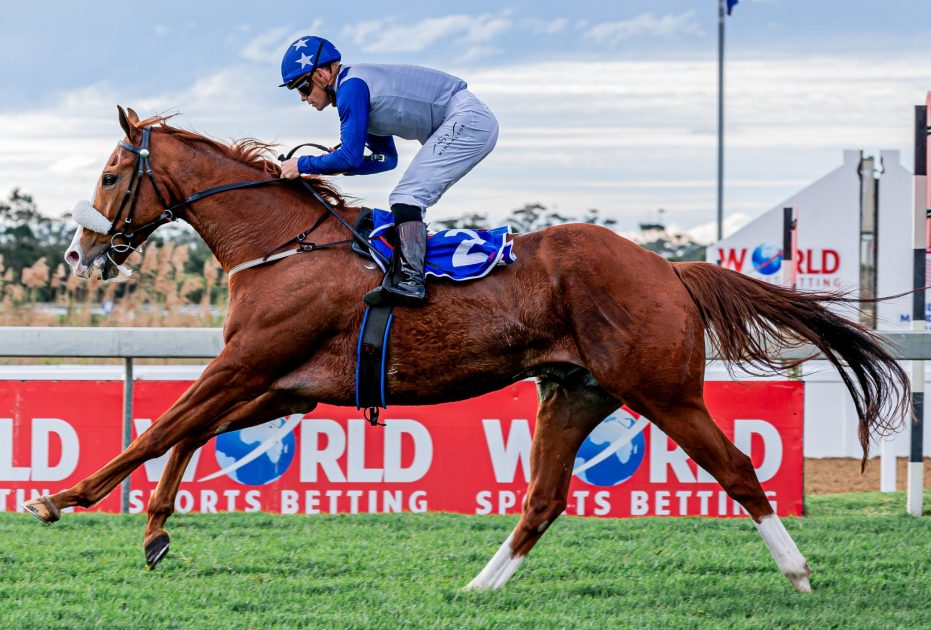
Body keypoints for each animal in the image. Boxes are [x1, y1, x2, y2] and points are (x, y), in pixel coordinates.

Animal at [23, 106, 912, 596]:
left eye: (111, 175)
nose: (77, 254)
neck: (284, 245)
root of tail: (668, 267)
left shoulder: (245, 366)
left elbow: (154, 431)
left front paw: (59, 498)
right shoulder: (287, 383)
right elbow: (185, 435)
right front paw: (153, 533)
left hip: (662, 389)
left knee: (735, 468)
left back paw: (796, 573)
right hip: (573, 392)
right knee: (543, 500)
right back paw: (478, 587)